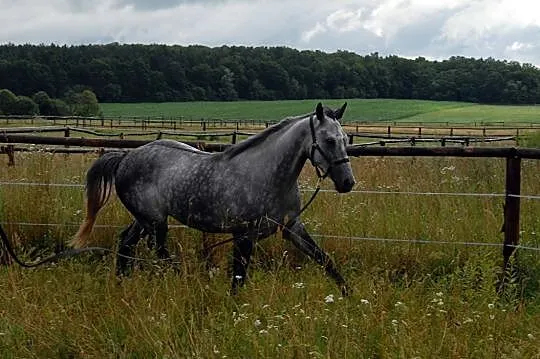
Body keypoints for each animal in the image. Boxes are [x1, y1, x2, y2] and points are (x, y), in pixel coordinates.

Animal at [73, 102, 358, 296]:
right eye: (329, 140)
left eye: (345, 139)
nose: (347, 183)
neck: (267, 174)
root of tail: (125, 157)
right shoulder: (243, 234)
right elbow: (238, 277)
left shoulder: (291, 228)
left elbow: (324, 259)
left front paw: (349, 295)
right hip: (155, 222)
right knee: (158, 250)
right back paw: (184, 278)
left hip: (144, 220)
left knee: (126, 243)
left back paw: (122, 282)